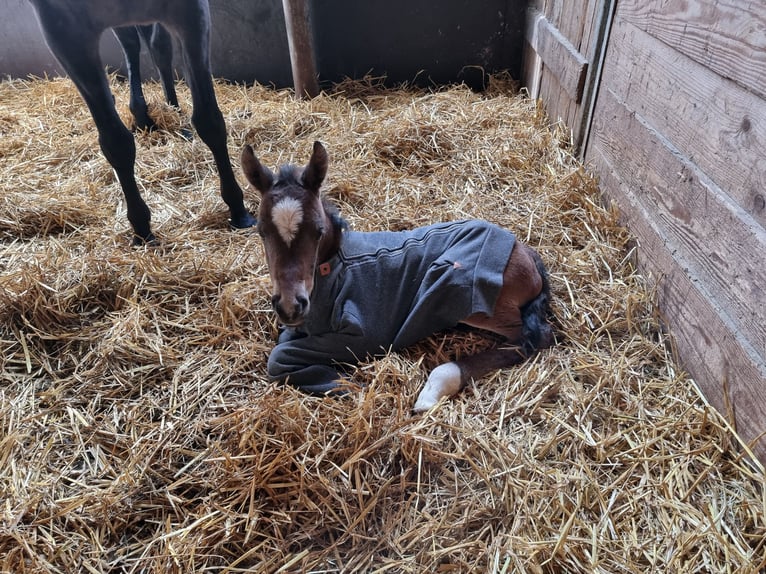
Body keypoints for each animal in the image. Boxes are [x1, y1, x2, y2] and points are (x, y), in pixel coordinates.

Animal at [27, 0, 258, 244]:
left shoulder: (192, 13)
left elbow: (210, 121)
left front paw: (238, 210)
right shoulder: (63, 29)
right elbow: (116, 143)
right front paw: (141, 226)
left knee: (156, 46)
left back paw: (172, 113)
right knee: (132, 41)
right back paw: (142, 116)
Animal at [242, 144, 560, 414]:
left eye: (318, 231)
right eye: (261, 231)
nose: (290, 306)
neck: (334, 271)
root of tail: (525, 250)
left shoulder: (366, 335)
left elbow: (280, 355)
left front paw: (344, 383)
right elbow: (284, 338)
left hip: (469, 292)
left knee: (534, 337)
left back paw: (435, 389)